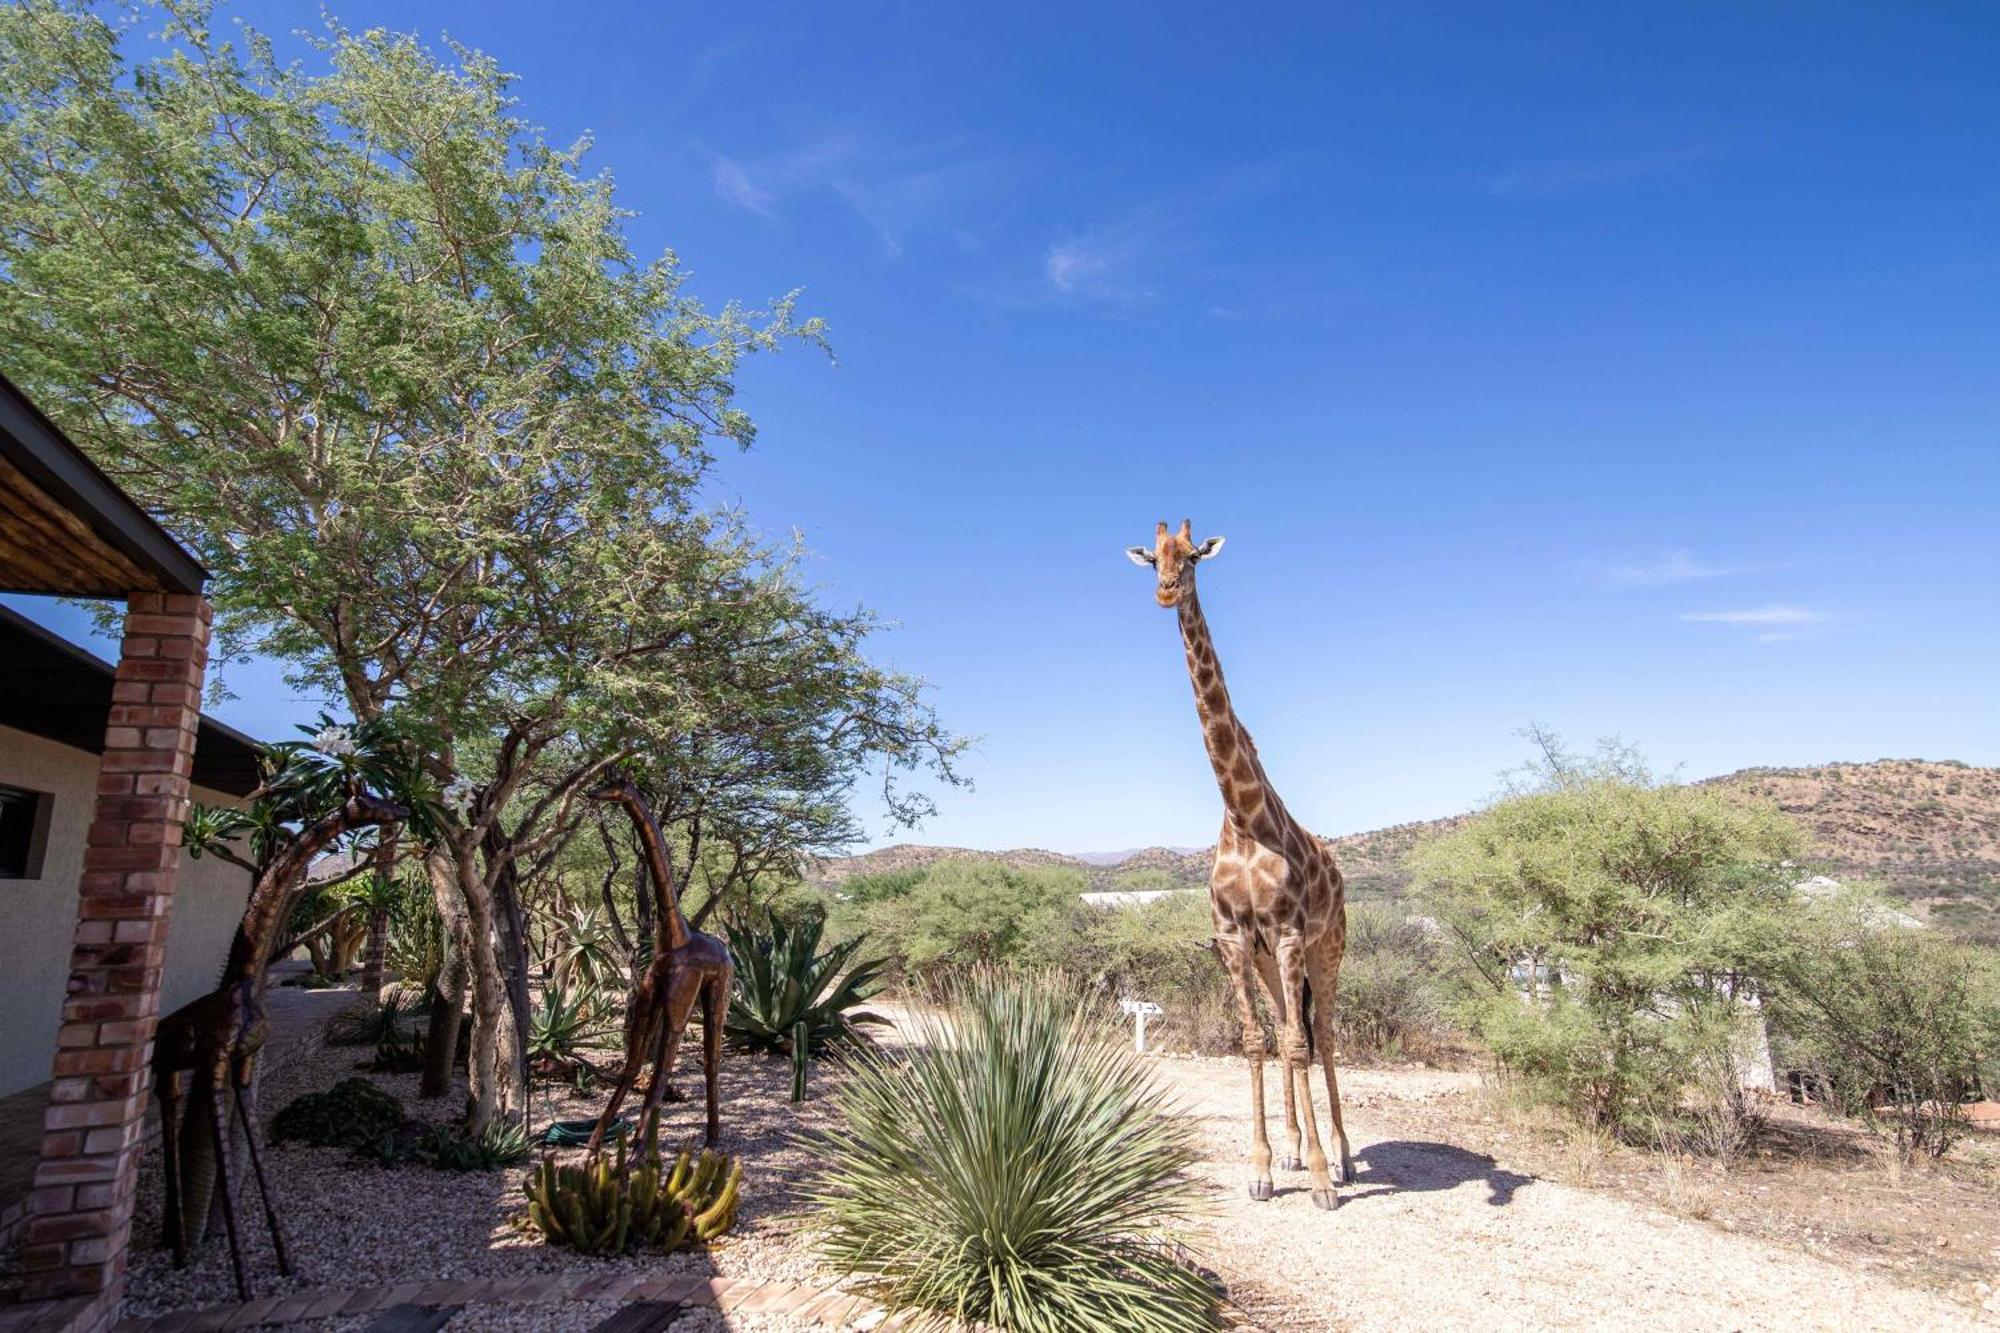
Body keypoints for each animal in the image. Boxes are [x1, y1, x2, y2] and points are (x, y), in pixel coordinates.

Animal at [584, 772, 732, 1144]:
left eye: (619, 785)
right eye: (605, 780)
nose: (592, 791)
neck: (672, 936)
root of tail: (727, 951)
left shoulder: (677, 1004)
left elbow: (660, 1073)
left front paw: (637, 1151)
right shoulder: (648, 997)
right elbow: (633, 1066)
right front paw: (593, 1145)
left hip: (720, 989)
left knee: (712, 1058)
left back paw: (713, 1140)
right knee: (707, 1059)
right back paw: (711, 1136)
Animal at [1128, 520, 1360, 1200]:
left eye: (1194, 556)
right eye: (1152, 556)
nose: (1166, 590)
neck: (1242, 814)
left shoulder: (1288, 934)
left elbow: (1300, 1045)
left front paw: (1322, 1180)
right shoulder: (1234, 938)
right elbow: (1259, 1041)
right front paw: (1262, 1167)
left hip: (1328, 946)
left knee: (1323, 1035)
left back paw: (1340, 1155)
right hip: (1267, 959)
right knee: (1290, 1027)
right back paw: (1294, 1148)